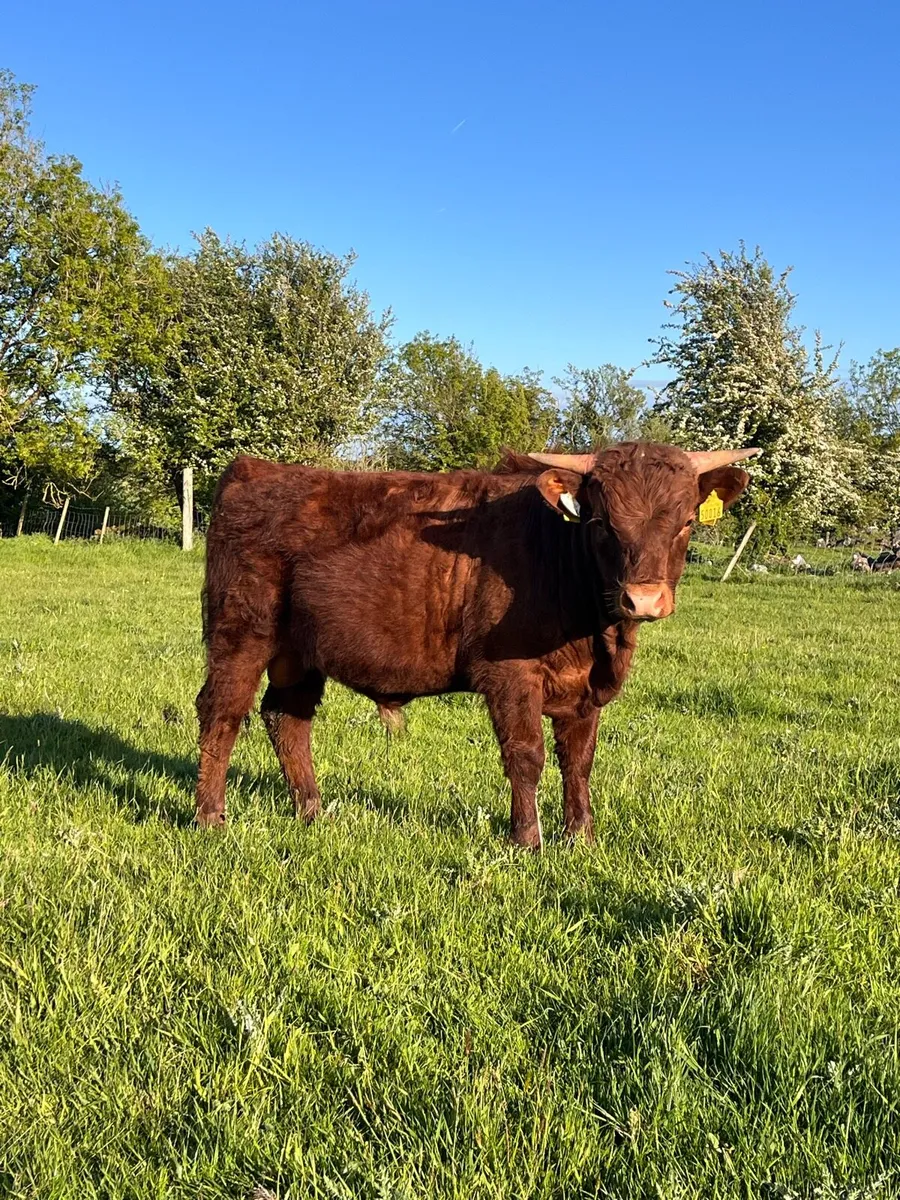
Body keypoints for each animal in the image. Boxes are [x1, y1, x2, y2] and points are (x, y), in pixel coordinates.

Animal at [195, 442, 759, 849]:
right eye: (602, 523)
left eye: (687, 521)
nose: (643, 599)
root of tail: (256, 470)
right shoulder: (510, 675)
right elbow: (527, 755)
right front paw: (527, 839)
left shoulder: (584, 691)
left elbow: (579, 761)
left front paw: (581, 837)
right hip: (242, 633)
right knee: (221, 714)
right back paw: (210, 817)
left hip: (299, 652)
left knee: (287, 718)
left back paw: (312, 811)